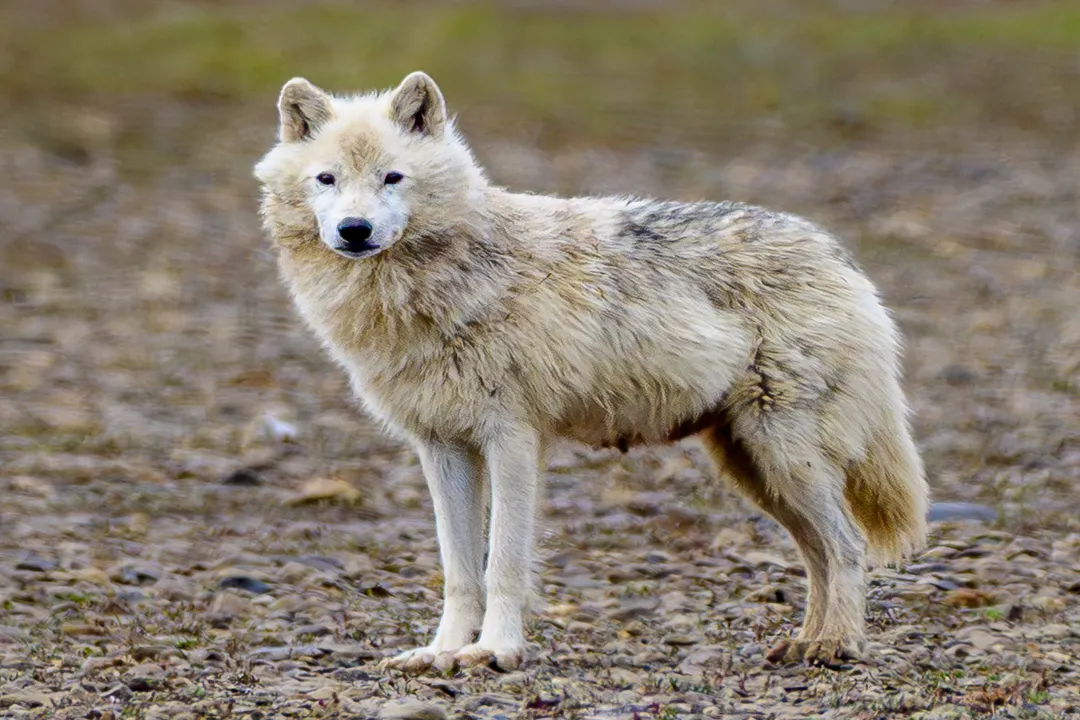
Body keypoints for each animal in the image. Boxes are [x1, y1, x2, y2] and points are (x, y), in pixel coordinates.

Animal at [253, 71, 929, 673]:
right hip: (756, 469)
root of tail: (836, 253)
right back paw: (805, 642)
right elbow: (458, 570)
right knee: (818, 552)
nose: (355, 230)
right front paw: (441, 652)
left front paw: (494, 652)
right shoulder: (441, 448)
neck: (432, 291)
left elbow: (503, 565)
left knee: (847, 546)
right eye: (327, 179)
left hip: (785, 456)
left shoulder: (512, 440)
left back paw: (835, 646)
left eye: (392, 177)